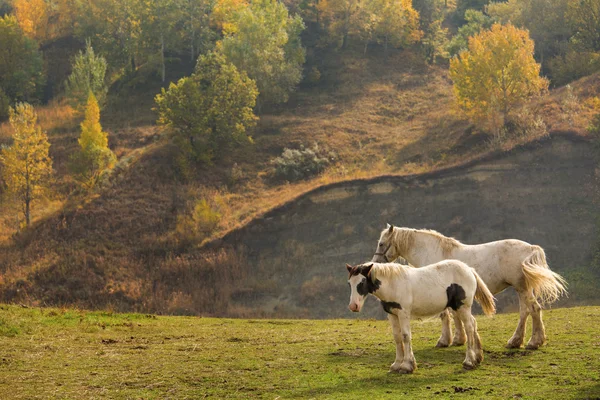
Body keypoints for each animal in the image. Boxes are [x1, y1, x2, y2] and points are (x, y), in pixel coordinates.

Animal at [344, 260, 494, 374]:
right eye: (349, 283)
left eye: (362, 282)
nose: (353, 306)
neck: (393, 284)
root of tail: (469, 269)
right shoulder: (392, 314)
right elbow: (397, 337)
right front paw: (396, 365)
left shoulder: (403, 313)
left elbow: (405, 336)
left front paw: (407, 366)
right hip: (458, 308)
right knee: (473, 324)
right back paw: (477, 358)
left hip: (462, 307)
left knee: (469, 327)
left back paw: (469, 361)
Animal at [370, 225, 568, 350]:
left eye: (381, 243)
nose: (375, 263)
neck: (432, 252)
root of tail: (530, 248)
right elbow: (455, 316)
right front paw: (459, 339)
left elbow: (446, 316)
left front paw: (446, 340)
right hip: (522, 289)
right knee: (525, 312)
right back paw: (516, 341)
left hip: (522, 289)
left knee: (533, 309)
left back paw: (534, 342)